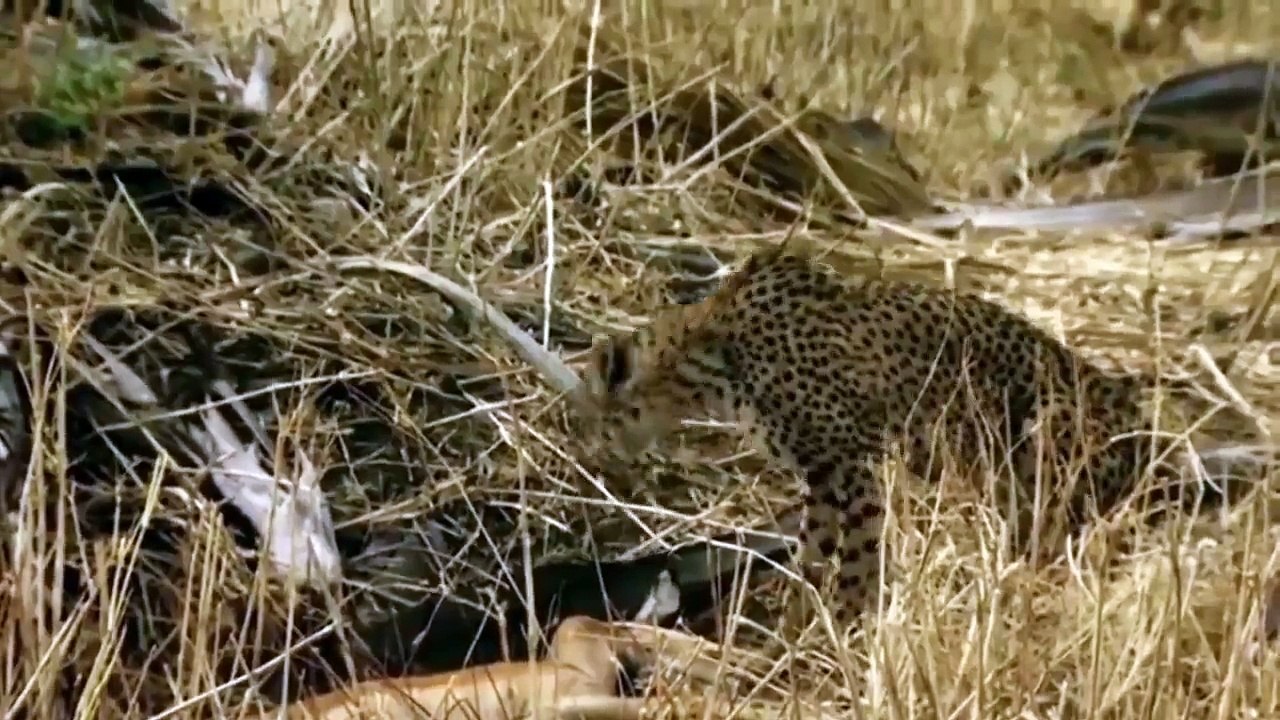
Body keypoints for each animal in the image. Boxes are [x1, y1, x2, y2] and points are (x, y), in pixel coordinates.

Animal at [570, 241, 1256, 627]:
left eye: (584, 414)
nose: (587, 450)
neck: (707, 354)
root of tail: (1153, 441)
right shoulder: (826, 477)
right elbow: (816, 549)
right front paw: (799, 612)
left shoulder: (852, 465)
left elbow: (857, 556)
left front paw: (840, 625)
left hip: (1045, 431)